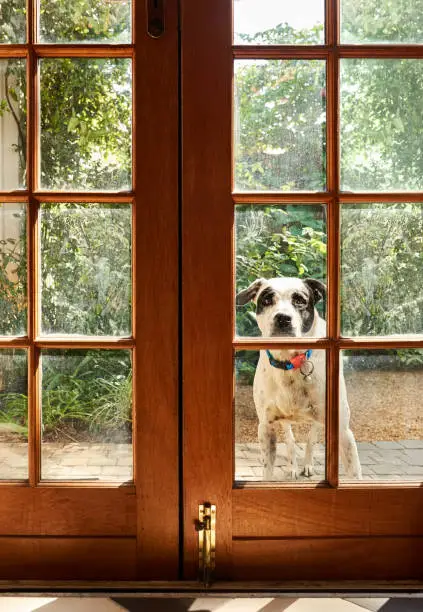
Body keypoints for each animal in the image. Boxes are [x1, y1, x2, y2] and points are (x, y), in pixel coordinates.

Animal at [237, 278, 362, 482]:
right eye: (266, 299)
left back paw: (308, 464)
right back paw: (293, 466)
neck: (291, 363)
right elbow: (268, 470)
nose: (283, 318)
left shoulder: (343, 430)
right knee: (290, 439)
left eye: (300, 300)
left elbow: (353, 472)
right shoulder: (266, 427)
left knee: (312, 435)